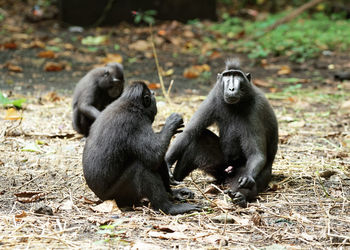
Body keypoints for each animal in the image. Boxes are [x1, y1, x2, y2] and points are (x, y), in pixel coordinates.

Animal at [167, 58, 278, 207]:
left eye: (237, 76)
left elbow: (257, 154)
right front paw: (166, 164)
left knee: (253, 179)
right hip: (220, 167)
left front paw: (247, 180)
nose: (231, 88)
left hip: (253, 172)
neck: (236, 105)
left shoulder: (255, 109)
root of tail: (228, 171)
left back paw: (240, 197)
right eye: (227, 76)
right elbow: (188, 133)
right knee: (197, 140)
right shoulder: (213, 97)